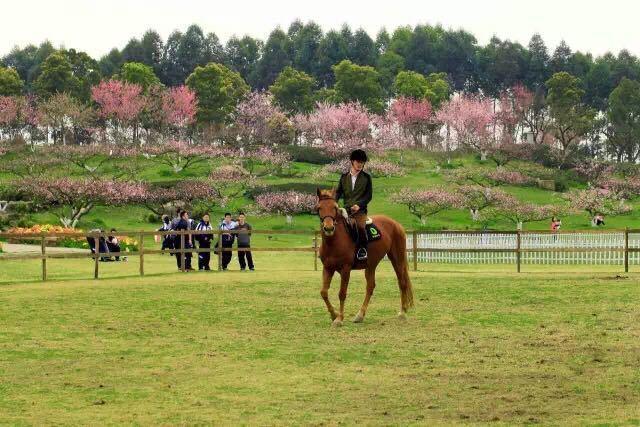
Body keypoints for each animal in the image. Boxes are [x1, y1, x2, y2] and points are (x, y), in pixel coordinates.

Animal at [316, 189, 416, 326]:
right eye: (319, 208)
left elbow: (342, 293)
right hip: (371, 265)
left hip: (397, 259)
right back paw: (360, 315)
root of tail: (396, 224)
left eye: (334, 207)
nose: (329, 228)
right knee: (370, 287)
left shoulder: (345, 269)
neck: (334, 241)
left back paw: (402, 312)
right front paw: (333, 315)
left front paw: (339, 318)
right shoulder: (327, 268)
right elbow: (323, 292)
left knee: (402, 283)